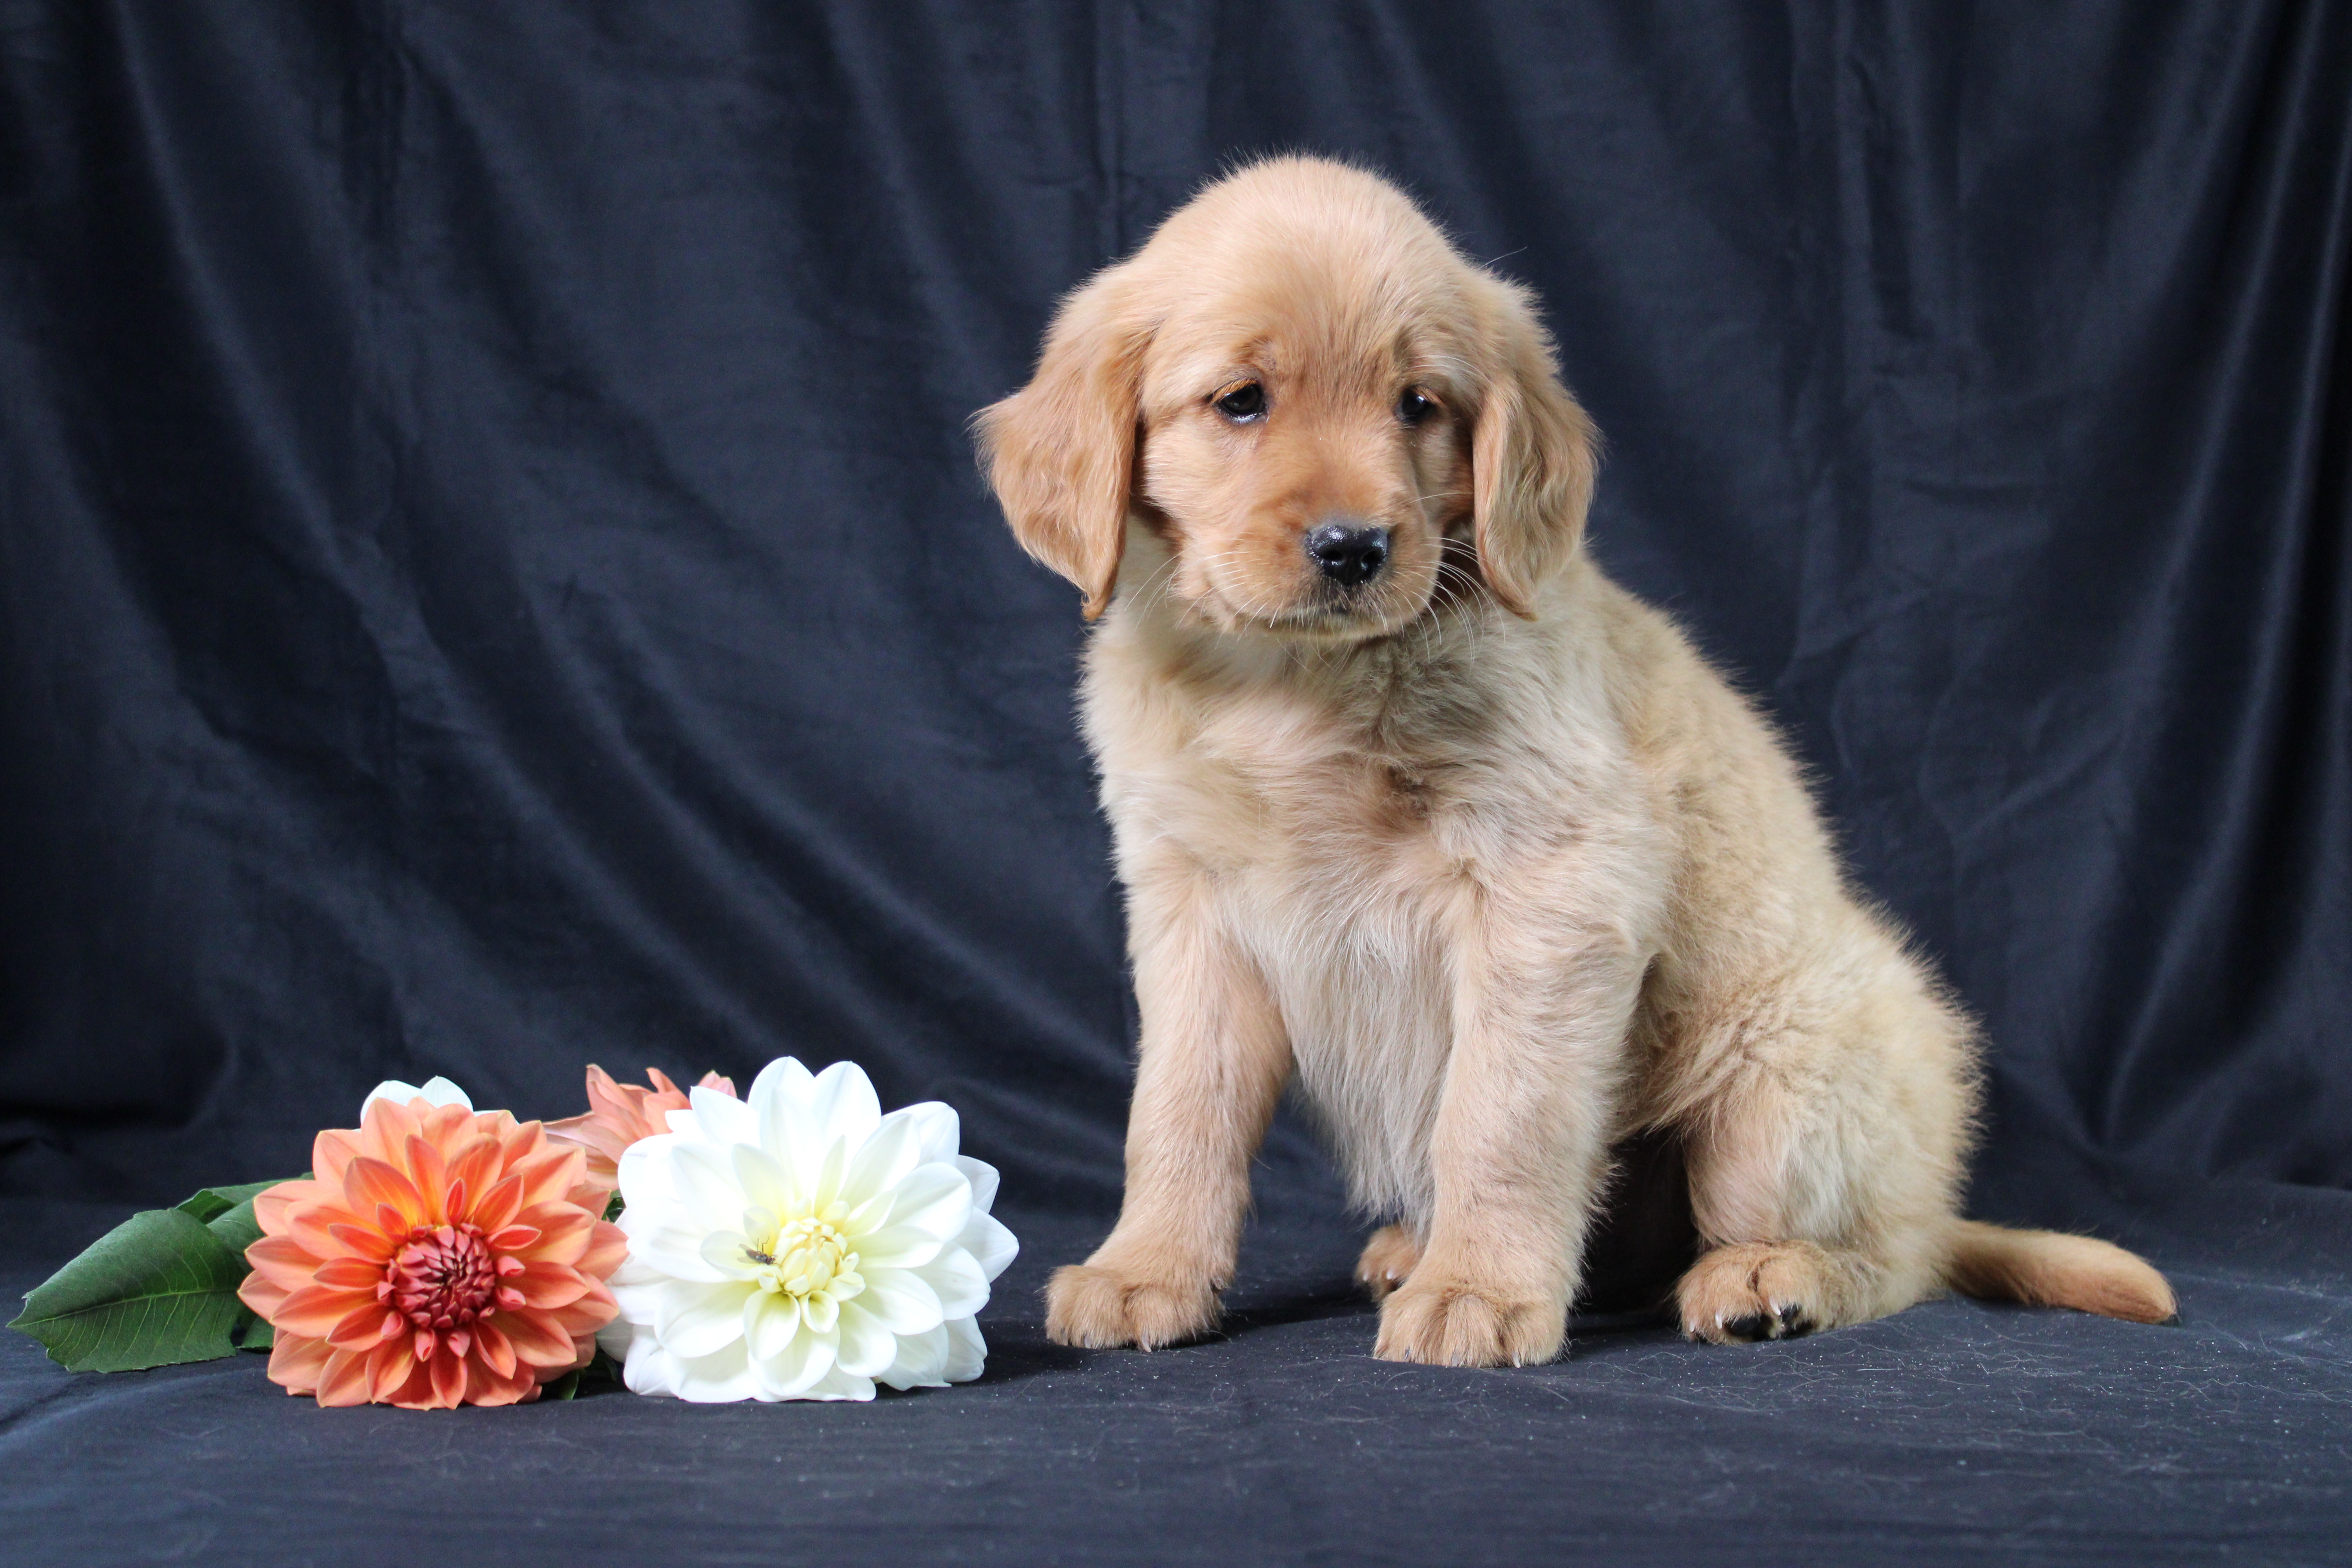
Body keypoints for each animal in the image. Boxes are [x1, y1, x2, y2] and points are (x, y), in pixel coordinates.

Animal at [969, 152, 2164, 1363]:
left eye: (1418, 404)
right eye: (1242, 401)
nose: (1354, 549)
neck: (1294, 689)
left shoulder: (1551, 888)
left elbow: (1502, 1111)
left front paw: (1482, 1290)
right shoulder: (1191, 907)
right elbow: (1180, 1110)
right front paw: (1148, 1269)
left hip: (1778, 1085)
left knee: (1890, 1256)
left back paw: (1771, 1277)